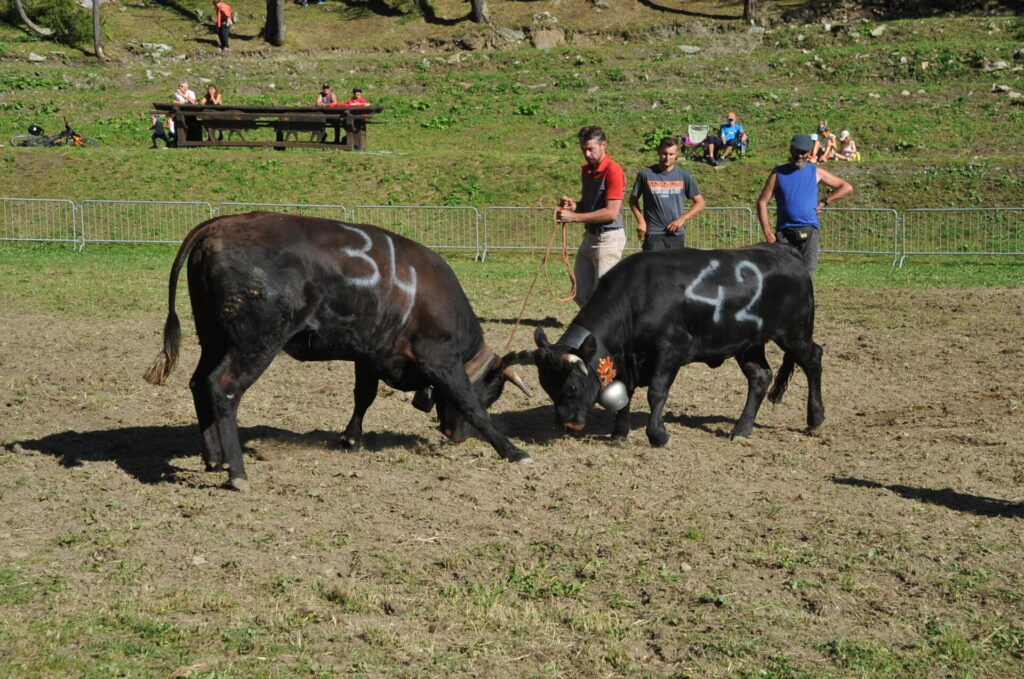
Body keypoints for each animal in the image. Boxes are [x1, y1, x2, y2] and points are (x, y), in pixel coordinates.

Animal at [147, 213, 532, 489]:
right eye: (493, 394)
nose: (456, 438)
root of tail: (221, 223)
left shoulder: (370, 353)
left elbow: (364, 395)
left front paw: (350, 438)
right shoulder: (441, 360)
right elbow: (469, 403)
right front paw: (512, 450)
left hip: (214, 338)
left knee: (199, 384)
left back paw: (214, 458)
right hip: (254, 343)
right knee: (223, 387)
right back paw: (237, 471)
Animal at [507, 244, 827, 446]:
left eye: (572, 387)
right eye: (547, 386)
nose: (567, 425)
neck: (637, 297)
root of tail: (781, 249)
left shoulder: (670, 349)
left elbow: (657, 393)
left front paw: (658, 435)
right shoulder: (629, 359)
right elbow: (627, 392)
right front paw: (619, 431)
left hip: (793, 333)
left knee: (813, 359)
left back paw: (815, 419)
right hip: (747, 343)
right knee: (760, 377)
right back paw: (741, 429)